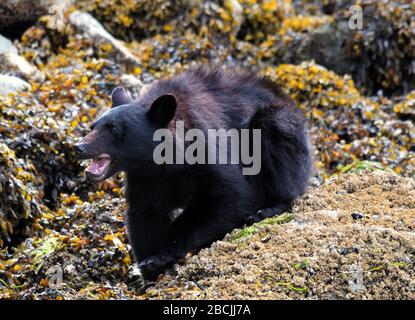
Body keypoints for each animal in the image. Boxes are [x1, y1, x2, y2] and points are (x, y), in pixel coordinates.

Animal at [77, 65, 312, 280]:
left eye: (113, 130)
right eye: (93, 126)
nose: (79, 147)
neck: (162, 161)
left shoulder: (205, 151)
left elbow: (231, 195)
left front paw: (163, 255)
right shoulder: (144, 177)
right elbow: (146, 212)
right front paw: (149, 268)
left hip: (277, 127)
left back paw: (268, 209)